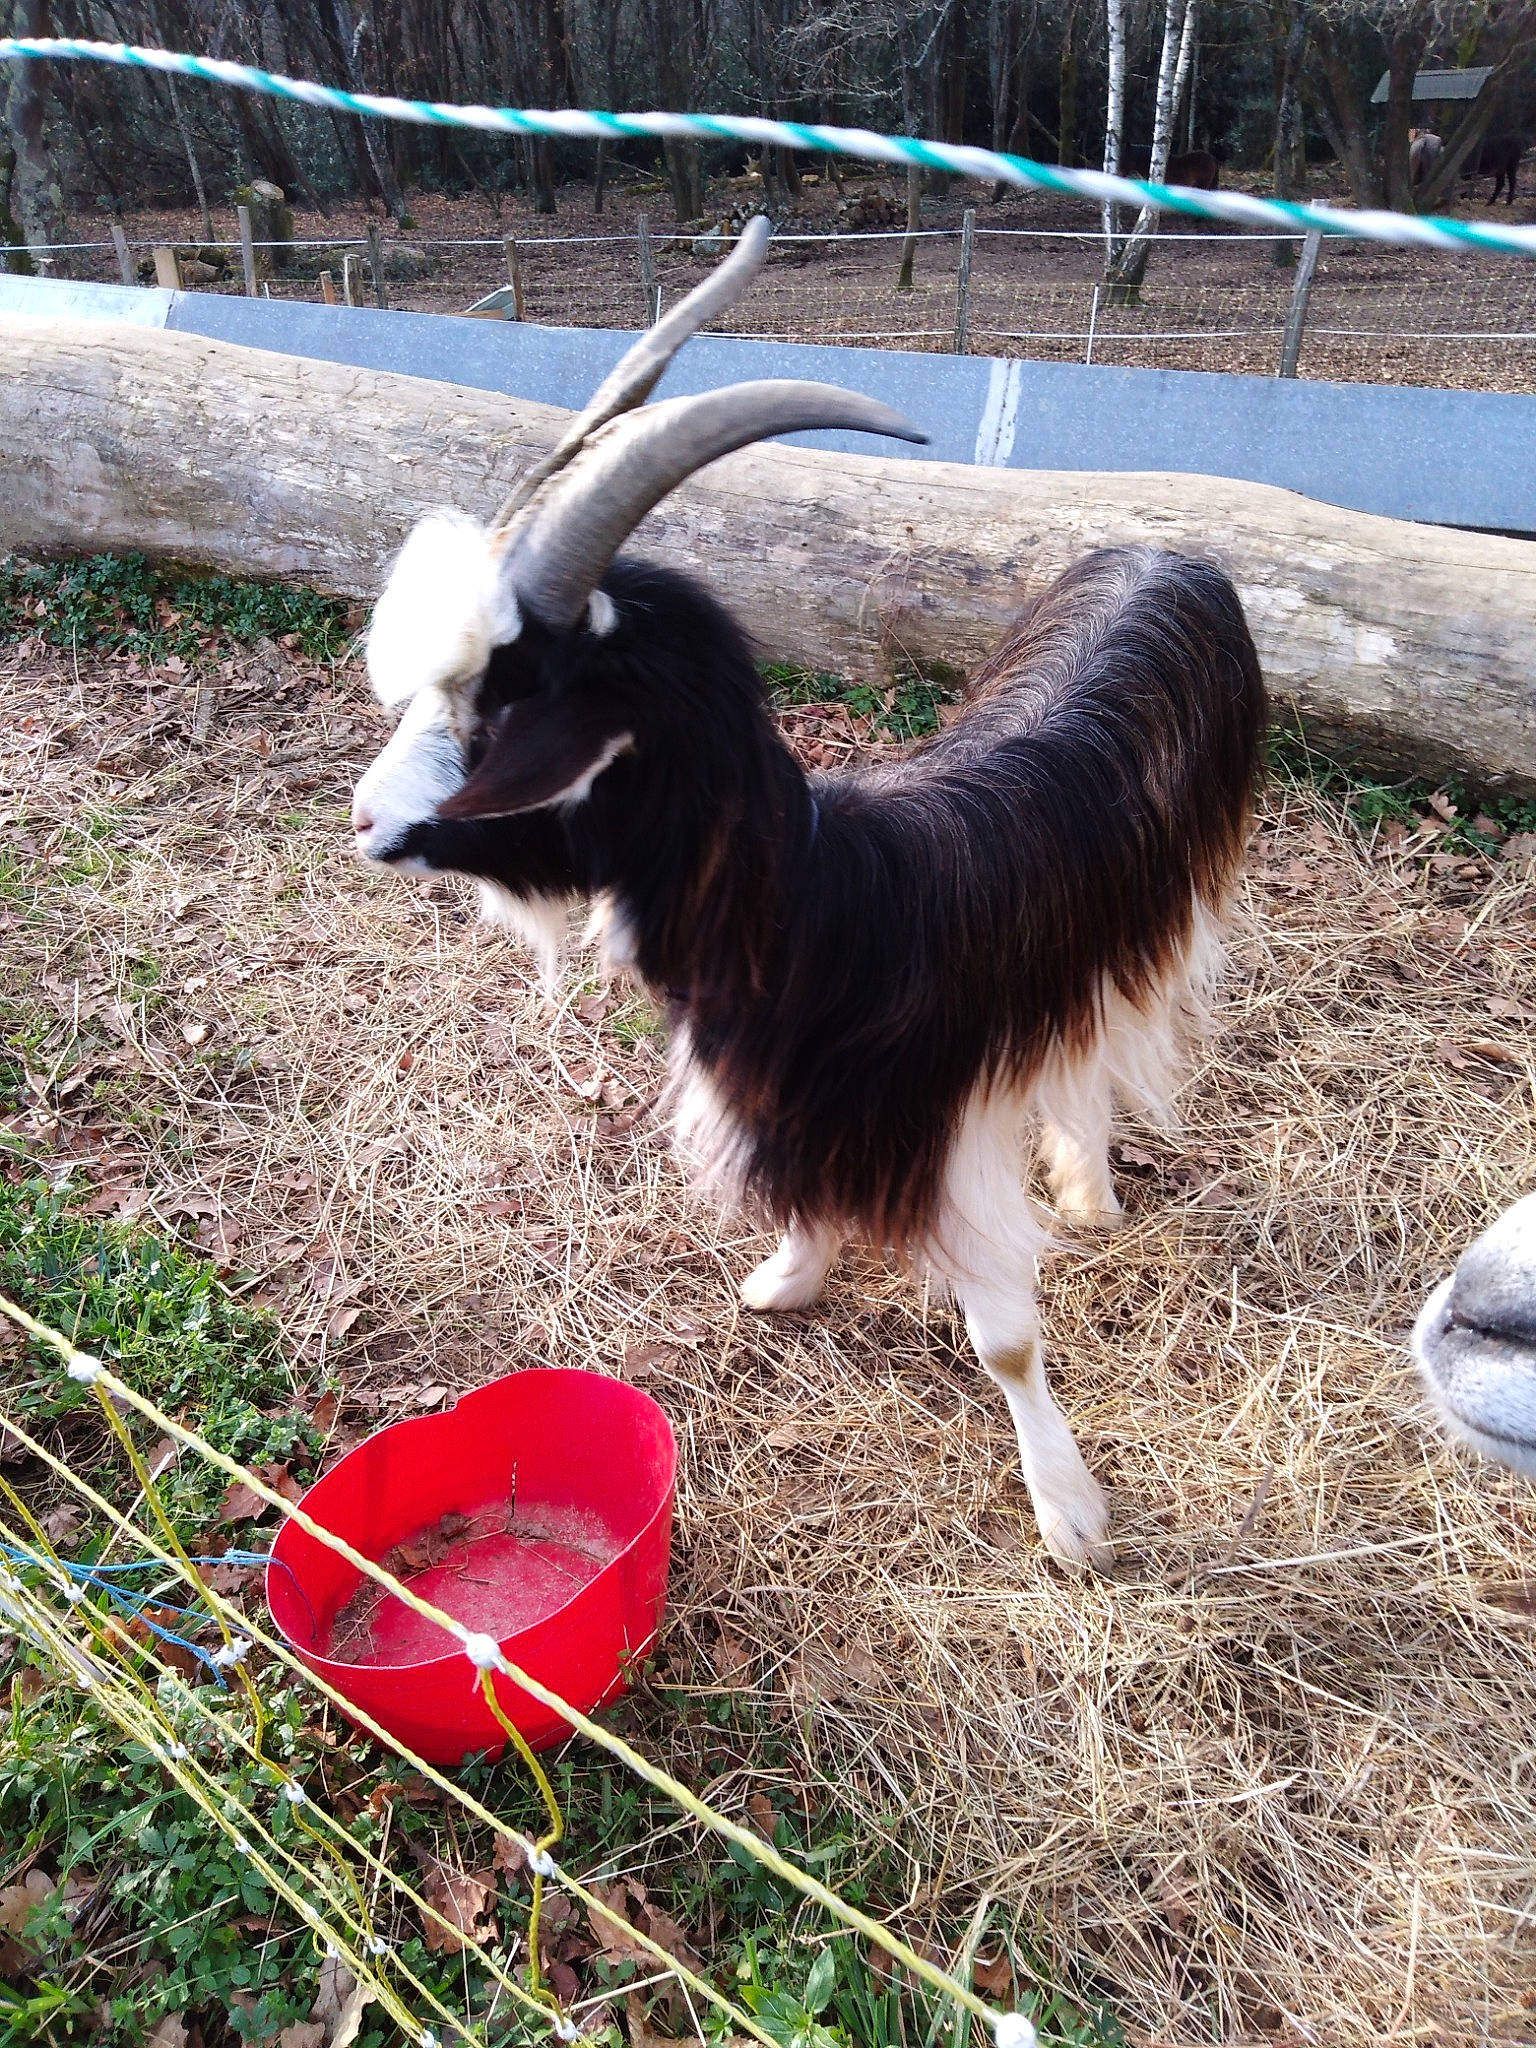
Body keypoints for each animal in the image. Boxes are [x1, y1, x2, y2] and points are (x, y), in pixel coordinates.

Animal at [350, 218, 1267, 1569]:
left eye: (511, 700)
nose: (365, 817)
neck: (814, 905)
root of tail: (1168, 552)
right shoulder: (790, 1093)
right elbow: (802, 1199)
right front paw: (789, 1276)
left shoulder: (933, 1126)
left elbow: (1007, 1339)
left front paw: (1069, 1514)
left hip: (1170, 899)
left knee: (1106, 1029)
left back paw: (1091, 1187)